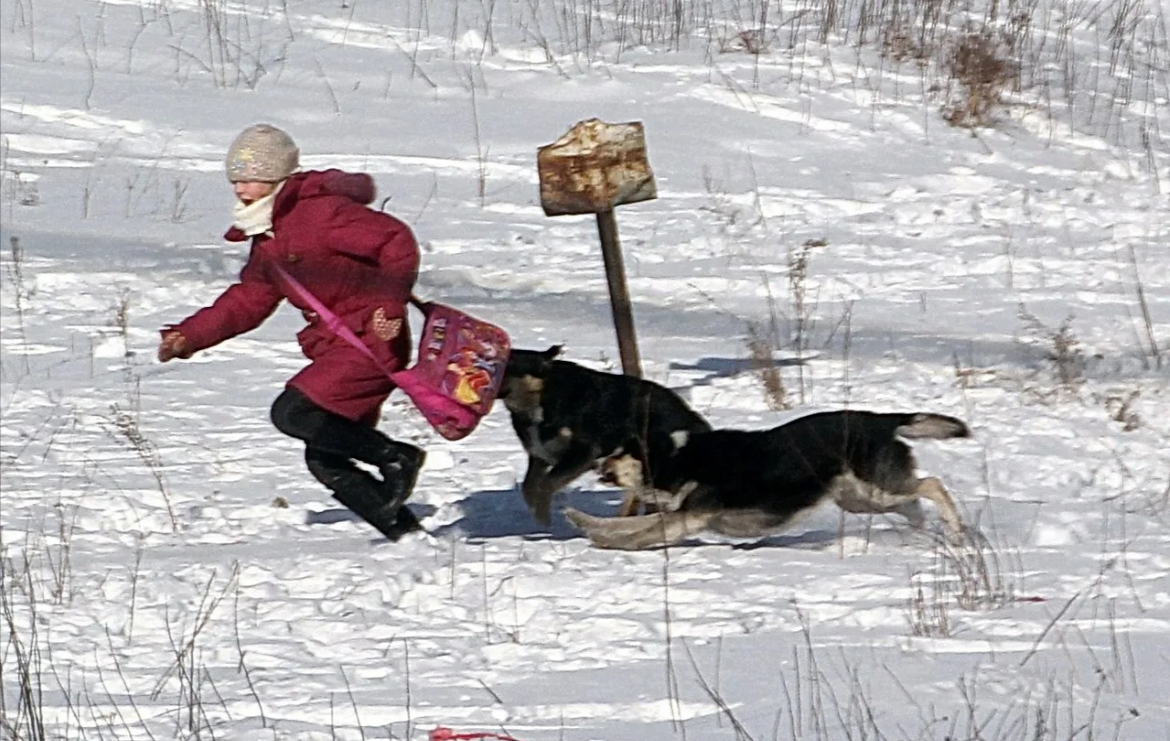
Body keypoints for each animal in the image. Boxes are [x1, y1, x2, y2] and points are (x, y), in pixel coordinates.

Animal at [496, 344, 706, 522]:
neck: (543, 397)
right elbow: (529, 487)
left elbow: (546, 484)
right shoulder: (540, 454)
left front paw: (544, 519)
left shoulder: (583, 452)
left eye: (509, 367)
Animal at [563, 409, 968, 550]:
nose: (596, 462)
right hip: (858, 499)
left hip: (874, 489)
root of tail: (883, 419)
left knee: (932, 484)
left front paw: (610, 544)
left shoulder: (690, 516)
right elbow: (626, 524)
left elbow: (640, 532)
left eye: (620, 452)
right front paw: (584, 523)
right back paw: (921, 535)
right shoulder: (683, 512)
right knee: (913, 504)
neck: (679, 457)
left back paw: (956, 530)